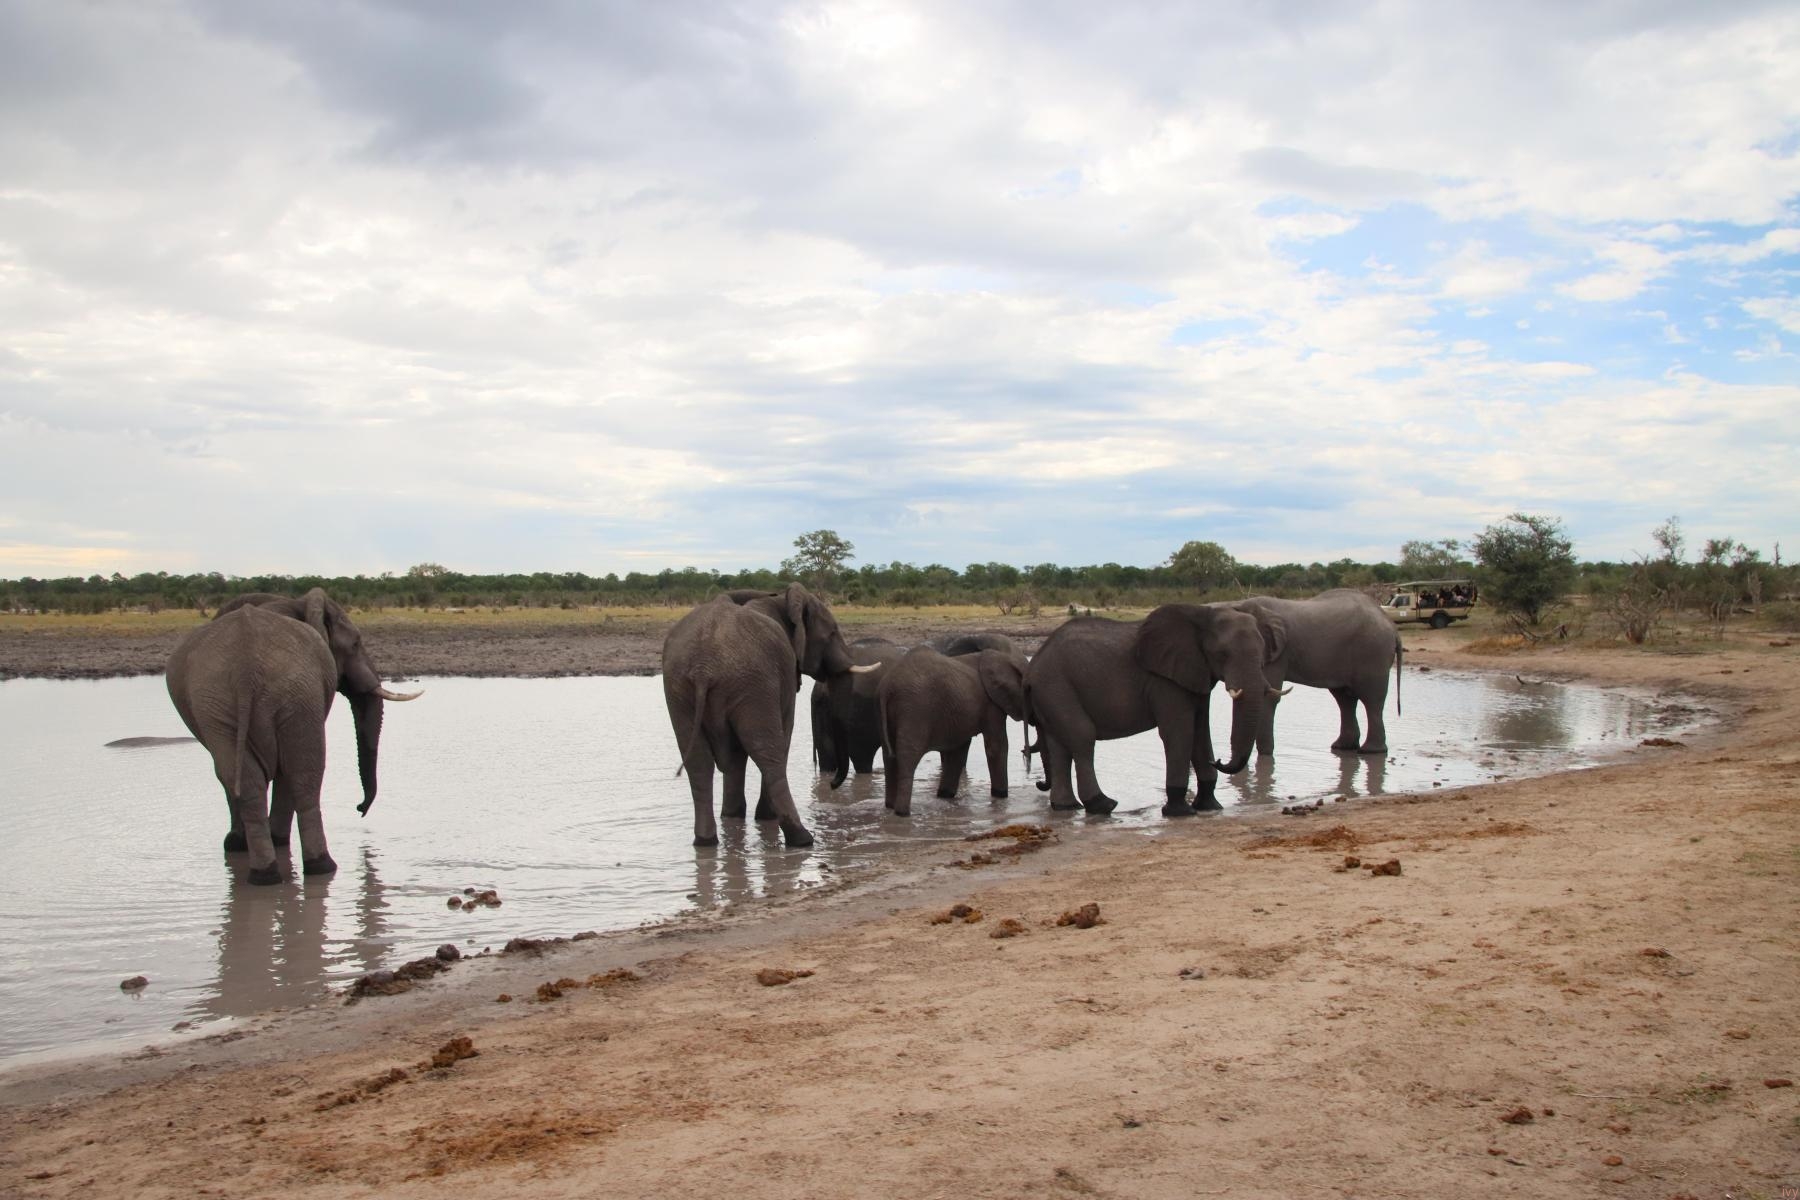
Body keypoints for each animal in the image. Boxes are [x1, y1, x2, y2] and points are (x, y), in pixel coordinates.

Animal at [166, 589, 421, 884]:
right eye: (356, 643)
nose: (359, 808)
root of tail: (246, 664)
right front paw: (268, 841)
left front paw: (249, 844)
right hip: (290, 693)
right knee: (302, 774)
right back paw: (316, 866)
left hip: (224, 703)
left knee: (251, 778)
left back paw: (265, 873)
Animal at [664, 583, 878, 848]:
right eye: (832, 632)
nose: (831, 785)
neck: (780, 599)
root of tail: (704, 666)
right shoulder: (780, 678)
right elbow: (783, 734)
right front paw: (764, 819)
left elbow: (735, 756)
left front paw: (732, 817)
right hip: (751, 680)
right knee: (768, 753)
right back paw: (802, 839)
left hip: (681, 688)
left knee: (698, 762)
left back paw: (705, 842)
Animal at [878, 645, 1029, 816]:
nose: (1024, 751)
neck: (1004, 658)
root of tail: (887, 687)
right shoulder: (991, 705)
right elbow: (996, 747)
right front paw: (1001, 796)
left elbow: (957, 752)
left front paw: (945, 796)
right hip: (914, 709)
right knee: (908, 756)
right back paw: (902, 813)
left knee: (889, 758)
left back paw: (890, 807)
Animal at [1024, 604, 1277, 817]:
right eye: (1223, 654)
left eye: (1263, 653)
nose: (1220, 761)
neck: (1202, 615)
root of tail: (1032, 668)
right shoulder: (1164, 681)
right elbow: (1180, 732)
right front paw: (1180, 812)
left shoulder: (1196, 674)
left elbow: (1200, 731)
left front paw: (1211, 807)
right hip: (1056, 687)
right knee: (1082, 738)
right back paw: (1103, 805)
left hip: (1051, 693)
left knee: (1059, 747)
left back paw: (1067, 807)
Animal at [1220, 589, 1402, 756]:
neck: (1237, 604)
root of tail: (1391, 624)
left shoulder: (1275, 651)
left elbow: (1268, 696)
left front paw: (1265, 755)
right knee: (1345, 699)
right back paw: (1342, 747)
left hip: (1373, 652)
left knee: (1371, 700)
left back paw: (1370, 751)